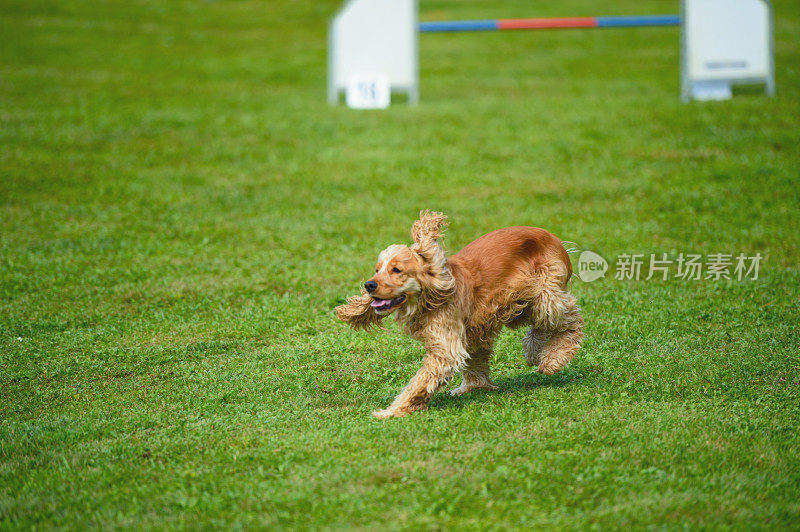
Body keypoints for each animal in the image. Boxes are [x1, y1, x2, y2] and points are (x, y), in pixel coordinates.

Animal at [334, 210, 584, 418]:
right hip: (520, 305)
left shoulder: (446, 347)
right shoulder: (475, 329)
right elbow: (475, 360)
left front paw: (391, 411)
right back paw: (533, 351)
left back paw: (552, 360)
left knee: (572, 321)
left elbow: (420, 381)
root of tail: (555, 239)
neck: (432, 296)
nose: (369, 285)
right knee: (541, 325)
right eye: (377, 269)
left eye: (396, 270)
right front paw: (474, 387)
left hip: (544, 296)